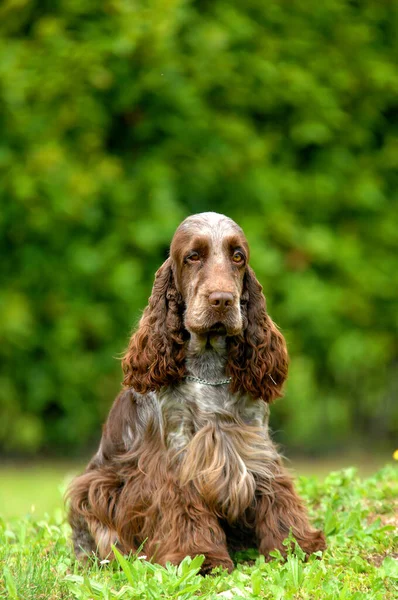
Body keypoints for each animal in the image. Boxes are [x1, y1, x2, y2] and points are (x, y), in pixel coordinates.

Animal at [67, 211, 324, 572]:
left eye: (237, 256)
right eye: (193, 256)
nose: (222, 300)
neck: (208, 371)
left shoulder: (255, 443)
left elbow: (277, 495)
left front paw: (296, 546)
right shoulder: (178, 453)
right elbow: (185, 506)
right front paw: (200, 558)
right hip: (94, 490)